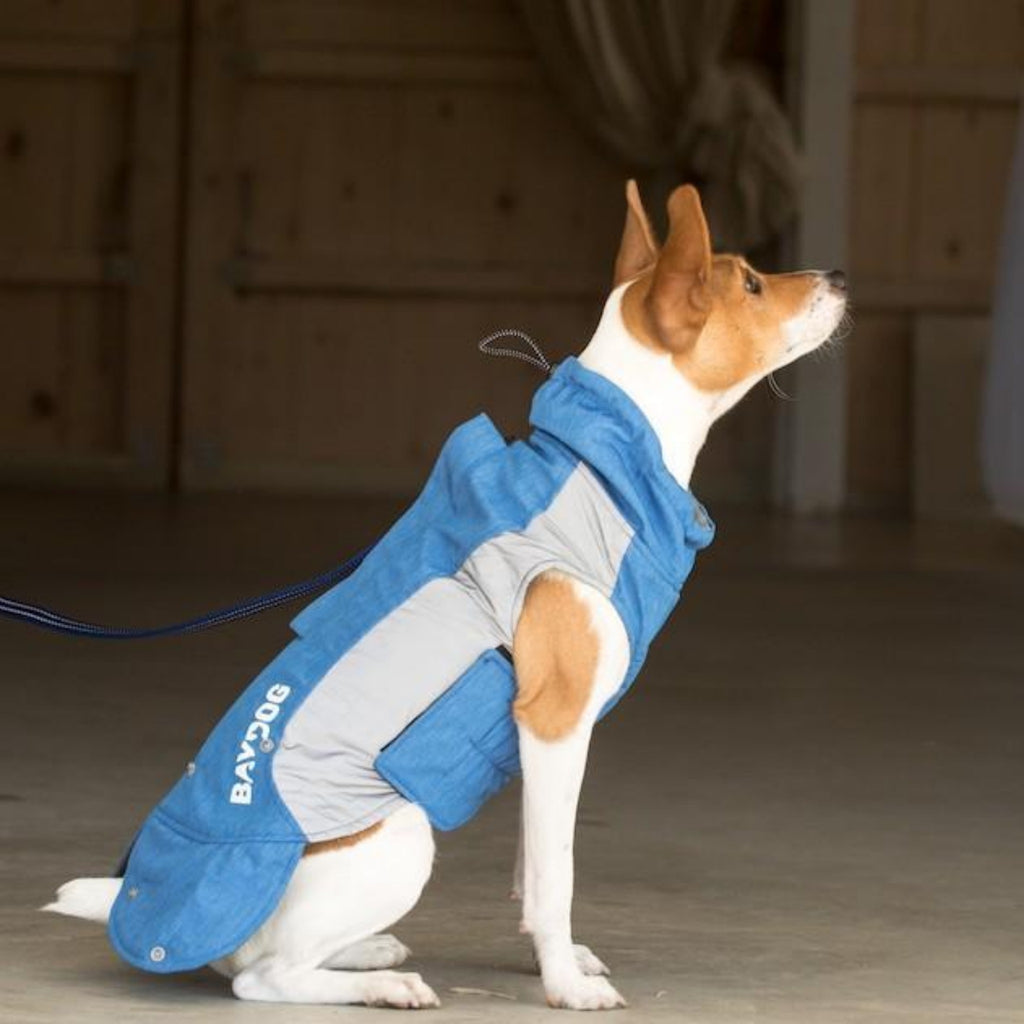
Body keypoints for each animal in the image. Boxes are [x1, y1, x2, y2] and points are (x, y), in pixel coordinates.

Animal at [44, 182, 847, 1007]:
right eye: (750, 283)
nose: (841, 277)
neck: (601, 468)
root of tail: (137, 898)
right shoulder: (557, 723)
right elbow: (556, 876)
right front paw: (564, 986)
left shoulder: (534, 739)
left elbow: (533, 867)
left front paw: (552, 958)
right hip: (404, 838)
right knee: (263, 978)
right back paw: (381, 986)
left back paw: (366, 953)